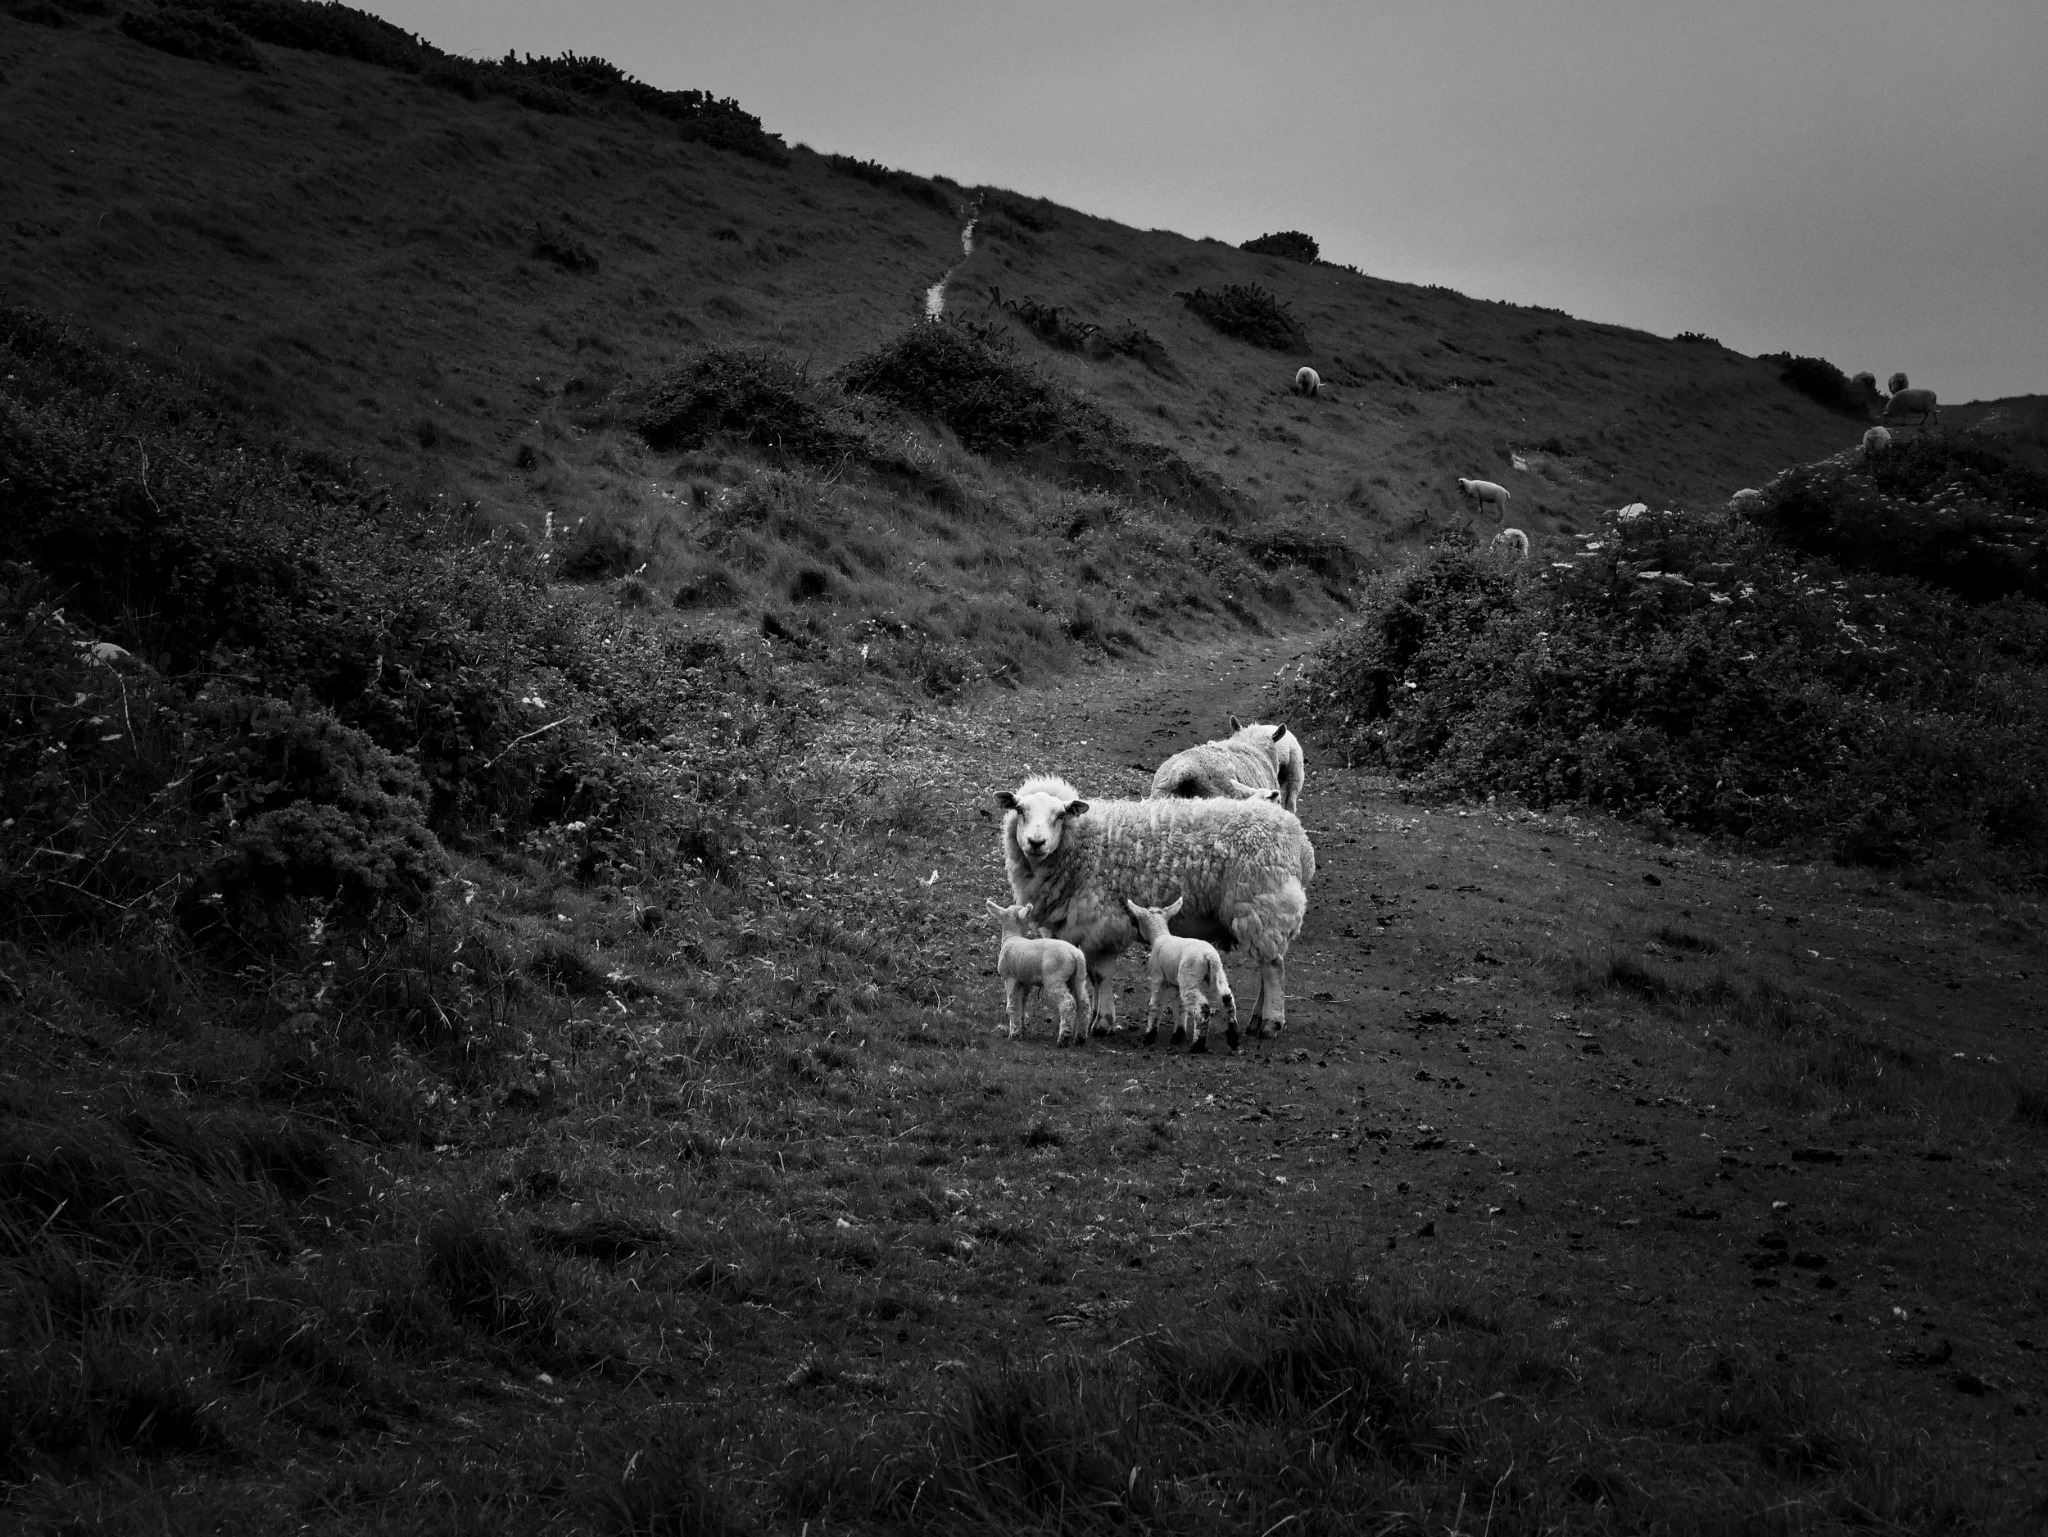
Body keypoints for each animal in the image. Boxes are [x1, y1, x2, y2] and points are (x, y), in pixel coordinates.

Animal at [985, 899, 1093, 1046]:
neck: (1012, 937)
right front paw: (1022, 1028)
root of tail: (1076, 954)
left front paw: (1014, 1033)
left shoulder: (1009, 978)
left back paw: (1063, 1038)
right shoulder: (1025, 982)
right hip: (1077, 978)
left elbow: (1012, 1005)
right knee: (1084, 1003)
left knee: (1068, 1003)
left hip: (1055, 977)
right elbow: (1022, 1004)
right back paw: (1080, 1038)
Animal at [1123, 896, 1238, 1052]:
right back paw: (1233, 1040)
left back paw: (1197, 1045)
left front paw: (1149, 1036)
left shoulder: (1158, 978)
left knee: (1202, 1007)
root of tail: (1209, 955)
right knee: (1227, 1000)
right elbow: (1179, 1007)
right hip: (1217, 974)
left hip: (1189, 975)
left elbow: (1155, 1004)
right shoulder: (1176, 983)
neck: (1159, 936)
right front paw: (1178, 1034)